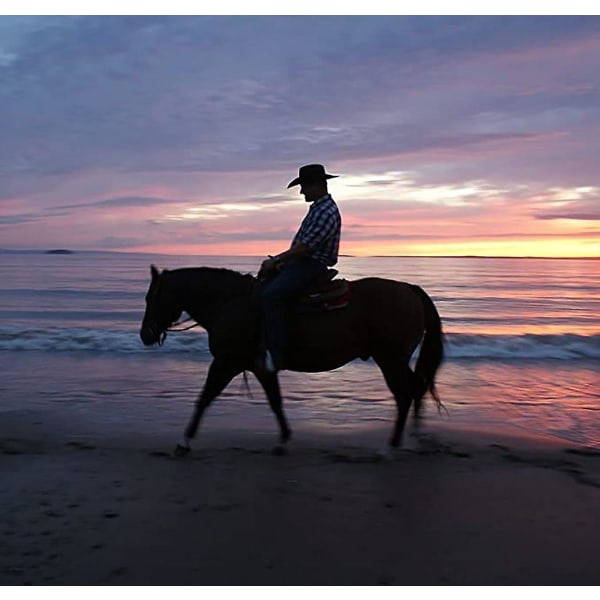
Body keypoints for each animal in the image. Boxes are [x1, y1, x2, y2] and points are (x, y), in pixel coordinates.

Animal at [138, 264, 442, 458]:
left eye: (151, 297)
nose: (145, 335)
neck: (230, 304)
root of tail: (409, 289)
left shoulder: (227, 362)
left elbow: (204, 398)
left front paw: (183, 442)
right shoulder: (260, 367)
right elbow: (275, 401)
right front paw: (283, 441)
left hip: (390, 359)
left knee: (404, 394)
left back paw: (390, 447)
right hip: (395, 360)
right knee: (417, 387)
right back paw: (414, 437)